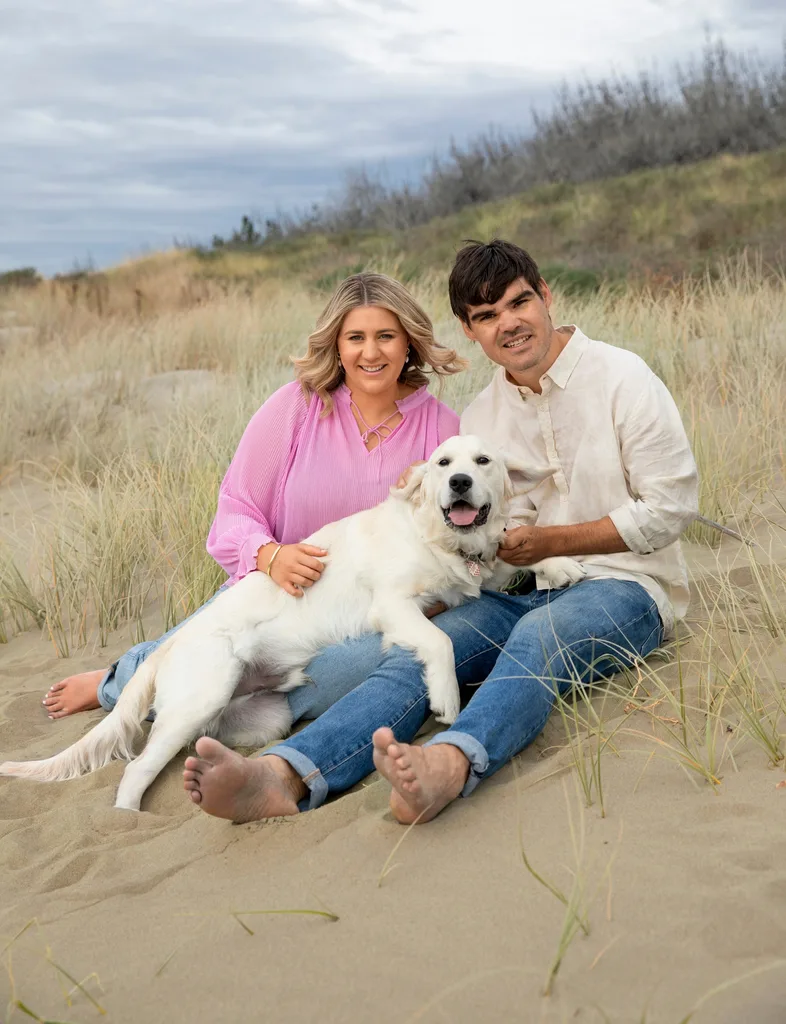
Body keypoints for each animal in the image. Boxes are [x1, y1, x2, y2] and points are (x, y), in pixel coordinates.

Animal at [0, 432, 585, 806]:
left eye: (483, 461)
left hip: (261, 718)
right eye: (443, 464)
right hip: (199, 697)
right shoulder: (394, 604)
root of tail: (171, 643)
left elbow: (512, 553)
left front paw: (559, 562)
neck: (440, 537)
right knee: (135, 772)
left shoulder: (479, 570)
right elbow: (438, 641)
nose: (461, 482)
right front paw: (444, 697)